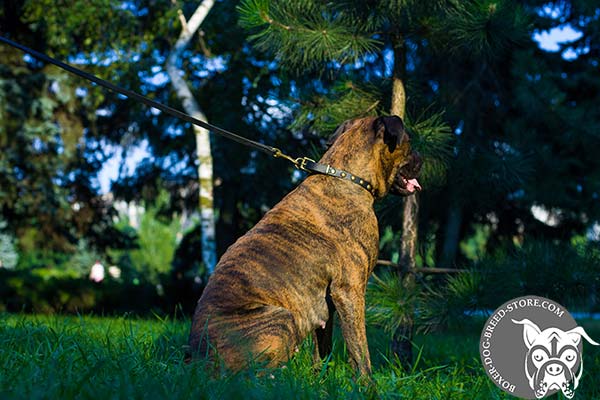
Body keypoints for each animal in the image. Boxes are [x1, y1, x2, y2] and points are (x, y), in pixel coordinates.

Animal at [189, 115, 422, 376]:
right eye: (409, 141)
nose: (422, 159)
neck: (348, 178)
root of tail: (197, 359)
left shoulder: (327, 305)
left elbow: (322, 349)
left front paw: (319, 379)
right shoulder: (349, 291)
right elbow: (359, 351)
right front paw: (366, 383)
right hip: (280, 317)